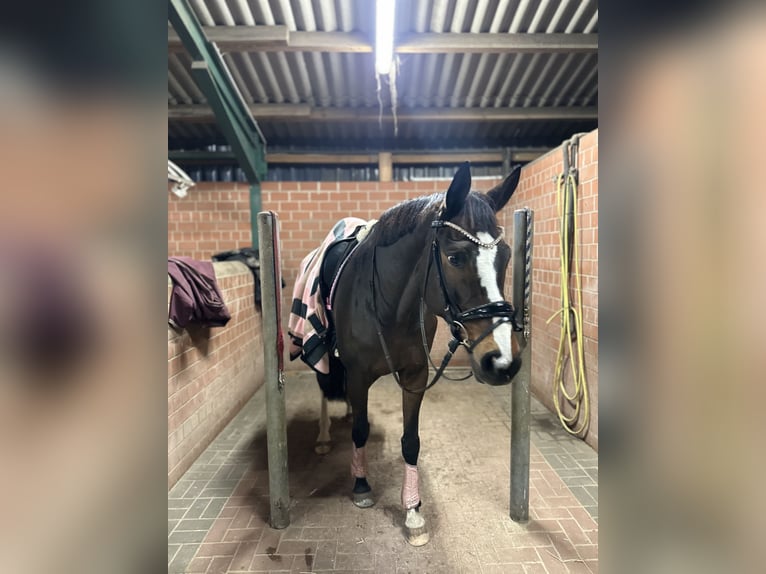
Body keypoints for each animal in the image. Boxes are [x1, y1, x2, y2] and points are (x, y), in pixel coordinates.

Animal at [290, 162, 522, 546]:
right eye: (455, 257)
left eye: (504, 256)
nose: (501, 361)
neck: (390, 305)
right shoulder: (358, 375)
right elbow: (360, 431)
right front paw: (361, 485)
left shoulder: (415, 376)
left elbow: (410, 442)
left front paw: (413, 511)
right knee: (325, 389)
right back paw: (323, 437)